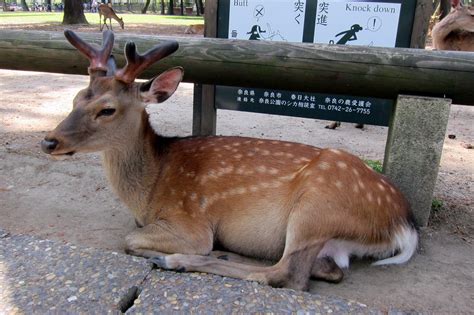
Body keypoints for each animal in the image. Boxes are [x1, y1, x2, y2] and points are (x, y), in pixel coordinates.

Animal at [41, 30, 418, 292]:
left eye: (107, 109)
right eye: (76, 98)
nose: (49, 140)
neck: (149, 190)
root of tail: (406, 225)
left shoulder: (190, 222)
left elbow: (130, 240)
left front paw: (170, 253)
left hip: (317, 206)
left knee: (286, 275)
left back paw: (176, 260)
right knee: (327, 270)